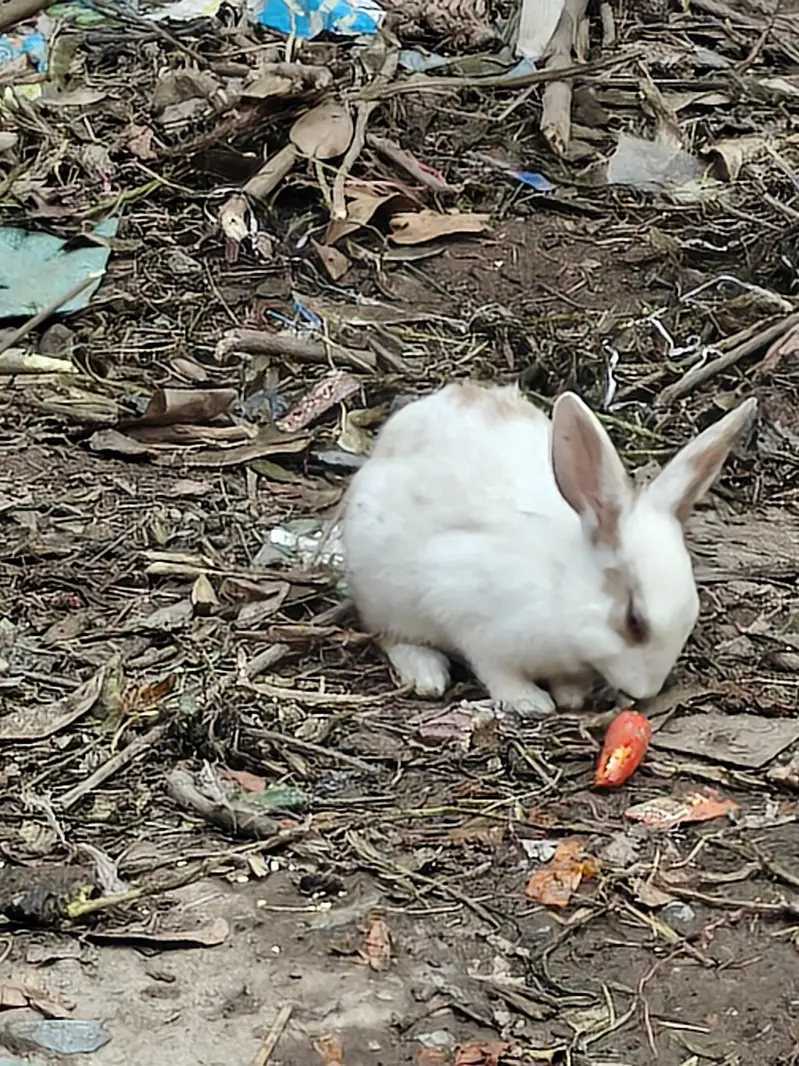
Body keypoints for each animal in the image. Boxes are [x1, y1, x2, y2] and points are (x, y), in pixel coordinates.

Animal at [340, 381, 758, 715]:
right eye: (634, 622)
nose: (646, 692)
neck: (561, 589)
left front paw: (570, 696)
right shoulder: (470, 618)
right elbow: (496, 671)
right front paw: (530, 702)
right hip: (387, 595)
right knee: (389, 635)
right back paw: (426, 674)